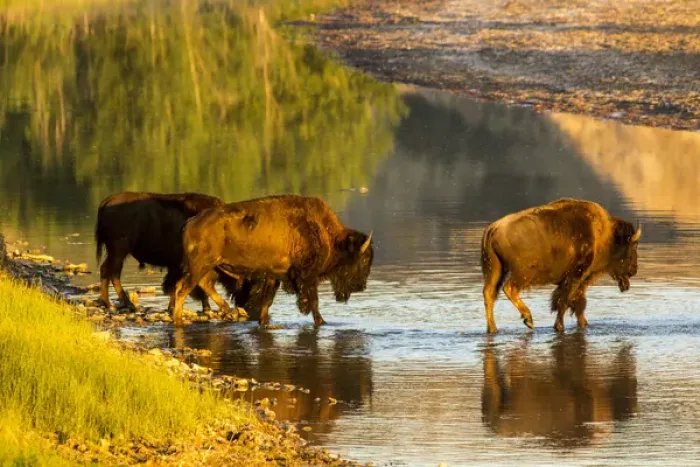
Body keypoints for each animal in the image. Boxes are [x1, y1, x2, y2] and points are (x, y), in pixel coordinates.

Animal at [95, 191, 245, 318]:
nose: (242, 304)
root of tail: (107, 201)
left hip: (116, 252)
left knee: (108, 271)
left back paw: (113, 304)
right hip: (119, 251)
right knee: (111, 272)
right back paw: (121, 305)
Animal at [169, 194, 374, 327]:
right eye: (363, 260)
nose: (361, 286)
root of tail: (190, 222)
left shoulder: (274, 276)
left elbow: (267, 302)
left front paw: (263, 322)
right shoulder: (308, 277)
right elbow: (313, 302)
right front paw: (321, 322)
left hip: (210, 268)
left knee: (199, 285)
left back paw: (225, 310)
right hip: (200, 267)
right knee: (182, 290)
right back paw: (179, 320)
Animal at [480, 198, 641, 333]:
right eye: (633, 246)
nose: (634, 270)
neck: (605, 236)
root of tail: (493, 228)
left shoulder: (579, 279)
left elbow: (577, 303)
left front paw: (583, 324)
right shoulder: (577, 275)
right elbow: (565, 300)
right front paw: (559, 327)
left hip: (496, 269)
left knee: (489, 294)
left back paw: (493, 329)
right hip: (521, 273)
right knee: (509, 288)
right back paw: (529, 319)